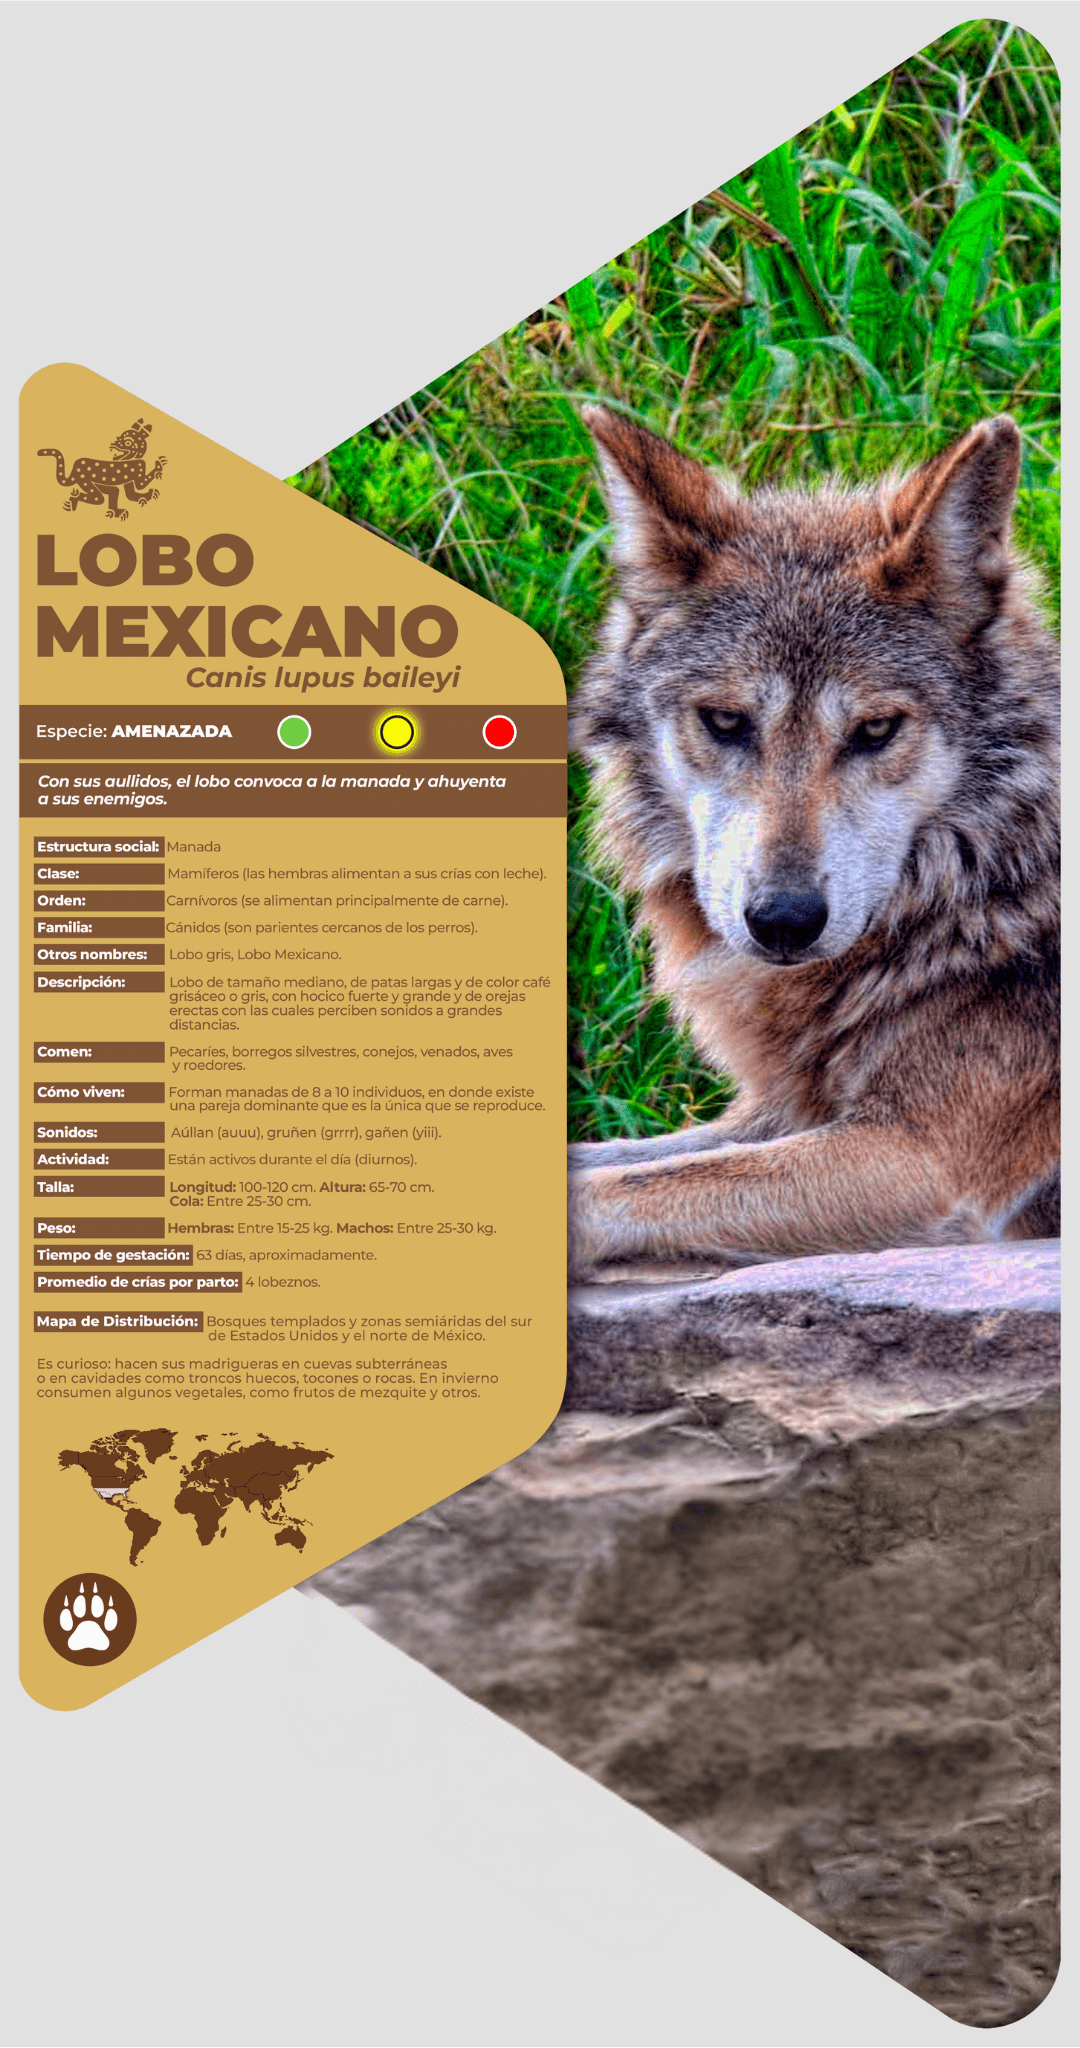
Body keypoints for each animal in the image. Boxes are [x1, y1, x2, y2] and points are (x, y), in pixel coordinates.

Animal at [568, 408, 1059, 1274]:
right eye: (726, 721)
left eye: (875, 730)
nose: (785, 922)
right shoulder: (782, 1109)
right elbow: (610, 1158)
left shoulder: (919, 1159)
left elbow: (629, 1187)